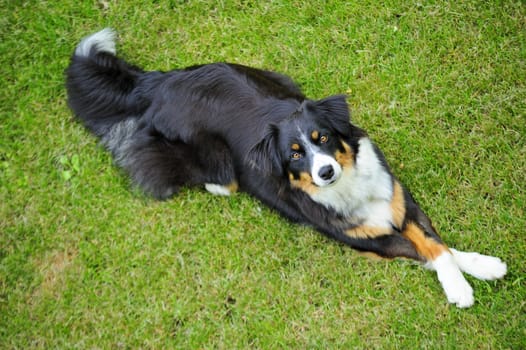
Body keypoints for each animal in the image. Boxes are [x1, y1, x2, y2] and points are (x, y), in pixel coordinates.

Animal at [65, 28, 508, 306]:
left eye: (322, 138)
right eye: (294, 154)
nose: (325, 172)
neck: (347, 187)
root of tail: (159, 82)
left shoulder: (398, 198)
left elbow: (437, 242)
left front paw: (483, 265)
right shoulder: (367, 241)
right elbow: (426, 250)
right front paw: (459, 289)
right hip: (211, 158)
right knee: (208, 177)